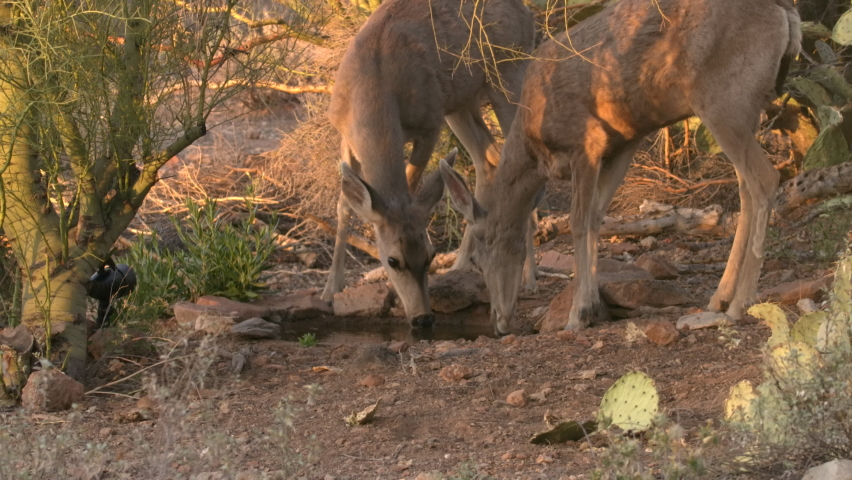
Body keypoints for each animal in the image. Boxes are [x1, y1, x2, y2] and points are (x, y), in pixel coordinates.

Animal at [322, 0, 536, 328]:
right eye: (392, 260)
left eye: (431, 254)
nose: (423, 318)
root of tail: (529, 16)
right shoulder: (344, 133)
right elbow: (345, 204)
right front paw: (330, 290)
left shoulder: (429, 124)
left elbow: (410, 186)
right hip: (462, 101)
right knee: (487, 159)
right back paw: (460, 267)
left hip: (509, 74)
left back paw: (530, 276)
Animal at [439, 0, 802, 335]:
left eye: (478, 255)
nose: (498, 322)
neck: (534, 147)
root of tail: (785, 15)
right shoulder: (623, 144)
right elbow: (596, 217)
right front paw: (591, 306)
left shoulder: (585, 140)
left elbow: (578, 221)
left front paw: (577, 315)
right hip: (745, 109)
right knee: (745, 188)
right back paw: (719, 297)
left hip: (723, 100)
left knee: (765, 179)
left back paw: (740, 304)